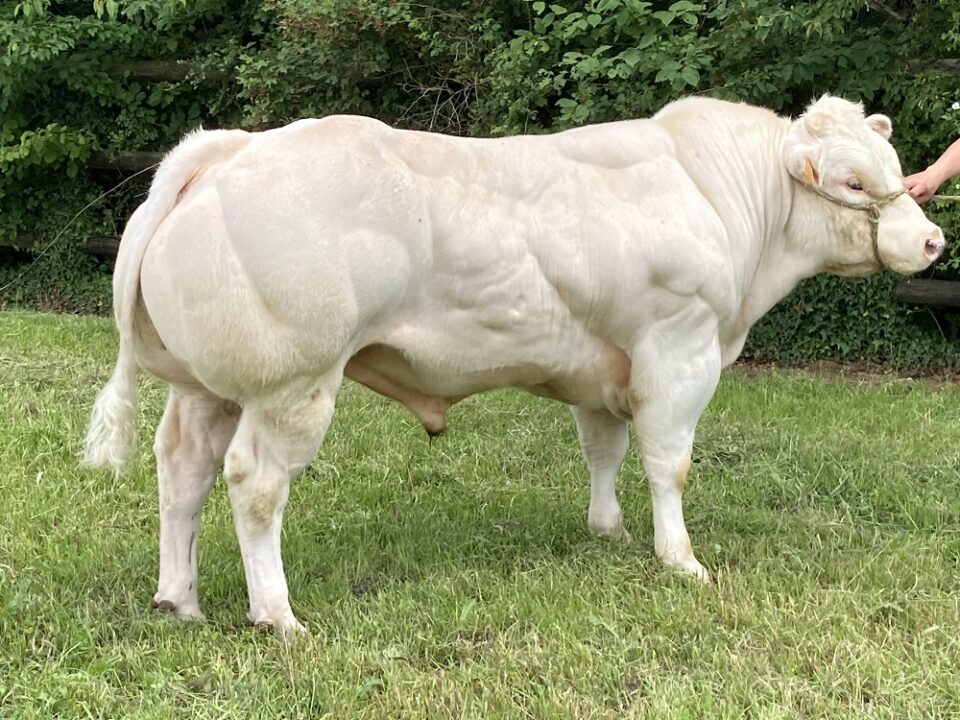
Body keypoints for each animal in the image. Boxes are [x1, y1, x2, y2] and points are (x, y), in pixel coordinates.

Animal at [84, 94, 944, 636]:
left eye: (894, 165)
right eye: (853, 181)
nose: (933, 240)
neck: (719, 197)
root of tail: (229, 147)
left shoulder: (605, 362)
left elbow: (604, 449)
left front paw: (608, 531)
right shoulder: (679, 343)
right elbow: (669, 462)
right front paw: (681, 561)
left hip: (207, 388)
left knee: (183, 471)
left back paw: (179, 600)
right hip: (291, 384)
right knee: (254, 485)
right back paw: (278, 615)